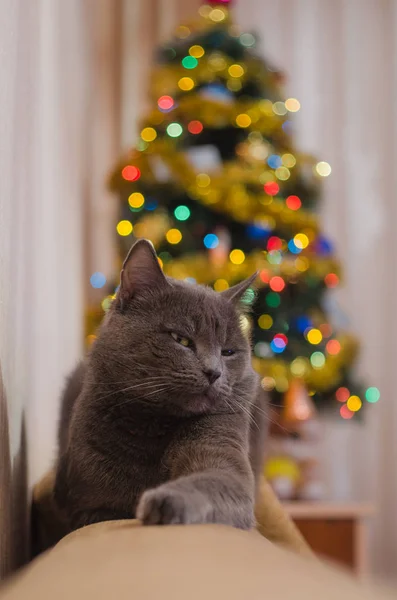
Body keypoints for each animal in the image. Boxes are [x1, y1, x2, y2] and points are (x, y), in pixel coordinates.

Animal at [54, 239, 268, 528]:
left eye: (228, 352)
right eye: (181, 339)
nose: (214, 372)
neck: (154, 424)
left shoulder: (223, 443)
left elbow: (217, 480)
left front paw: (165, 502)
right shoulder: (81, 500)